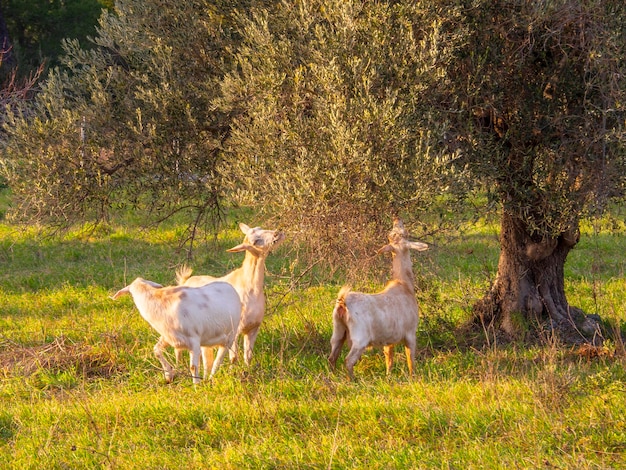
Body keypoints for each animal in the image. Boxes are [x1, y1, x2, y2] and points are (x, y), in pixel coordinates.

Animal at [111, 280, 240, 382]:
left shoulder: (194, 340)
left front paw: (196, 386)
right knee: (209, 361)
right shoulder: (169, 337)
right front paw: (169, 375)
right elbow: (156, 350)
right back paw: (207, 377)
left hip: (230, 336)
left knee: (220, 359)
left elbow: (193, 367)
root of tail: (231, 287)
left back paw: (211, 379)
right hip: (208, 340)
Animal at [176, 224, 282, 368]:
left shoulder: (253, 327)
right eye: (255, 241)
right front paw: (233, 371)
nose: (277, 233)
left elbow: (248, 356)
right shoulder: (235, 330)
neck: (250, 288)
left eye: (260, 228)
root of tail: (185, 281)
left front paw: (248, 370)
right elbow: (234, 357)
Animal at [326, 218, 424, 380]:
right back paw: (352, 380)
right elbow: (411, 359)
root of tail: (343, 301)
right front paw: (413, 378)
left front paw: (388, 376)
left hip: (338, 330)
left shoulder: (389, 338)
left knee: (332, 356)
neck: (404, 284)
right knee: (348, 360)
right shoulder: (410, 333)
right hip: (360, 337)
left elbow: (389, 357)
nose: (397, 219)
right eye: (405, 233)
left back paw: (333, 377)